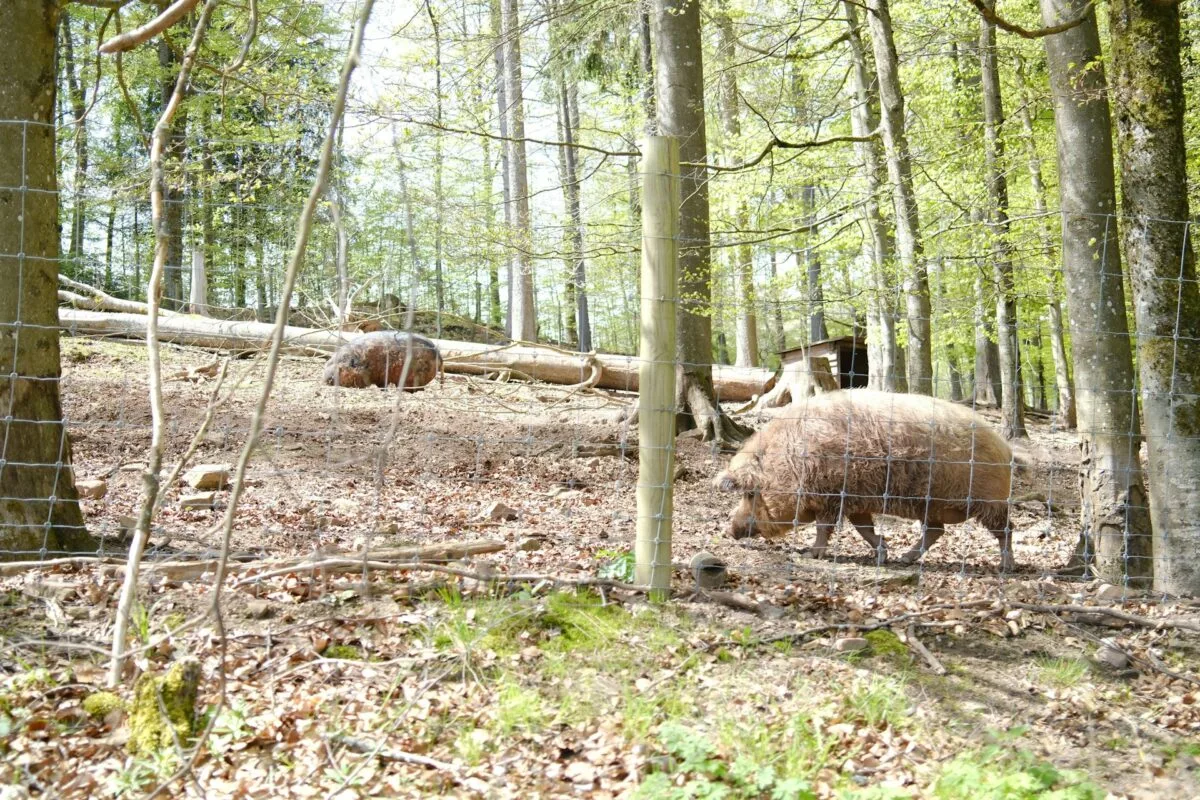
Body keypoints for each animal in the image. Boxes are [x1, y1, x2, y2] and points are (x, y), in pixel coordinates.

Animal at [715, 389, 1018, 571]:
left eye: (750, 493)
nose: (728, 530)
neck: (792, 462)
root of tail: (1005, 447)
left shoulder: (831, 496)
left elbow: (825, 528)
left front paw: (811, 555)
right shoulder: (855, 500)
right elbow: (864, 529)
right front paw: (882, 554)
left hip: (989, 501)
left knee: (1006, 529)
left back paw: (1006, 566)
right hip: (931, 506)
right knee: (936, 531)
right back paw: (905, 558)